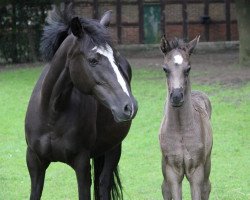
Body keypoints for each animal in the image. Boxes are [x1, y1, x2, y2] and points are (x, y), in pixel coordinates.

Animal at [159, 36, 212, 200]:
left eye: (188, 69)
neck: (181, 130)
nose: (176, 96)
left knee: (207, 187)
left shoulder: (196, 170)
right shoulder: (173, 171)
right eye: (165, 69)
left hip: (207, 163)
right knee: (164, 189)